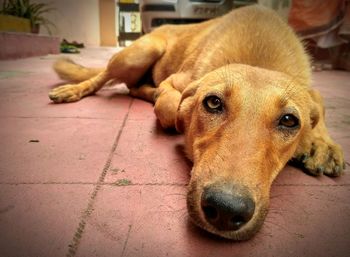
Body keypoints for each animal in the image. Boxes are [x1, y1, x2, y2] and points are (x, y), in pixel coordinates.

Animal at [48, 5, 344, 239]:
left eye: (289, 121)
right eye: (212, 103)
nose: (226, 210)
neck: (259, 57)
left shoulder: (312, 94)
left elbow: (320, 105)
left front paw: (321, 144)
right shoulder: (178, 83)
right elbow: (171, 108)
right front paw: (176, 115)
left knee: (131, 87)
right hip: (140, 52)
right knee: (104, 77)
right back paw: (75, 90)